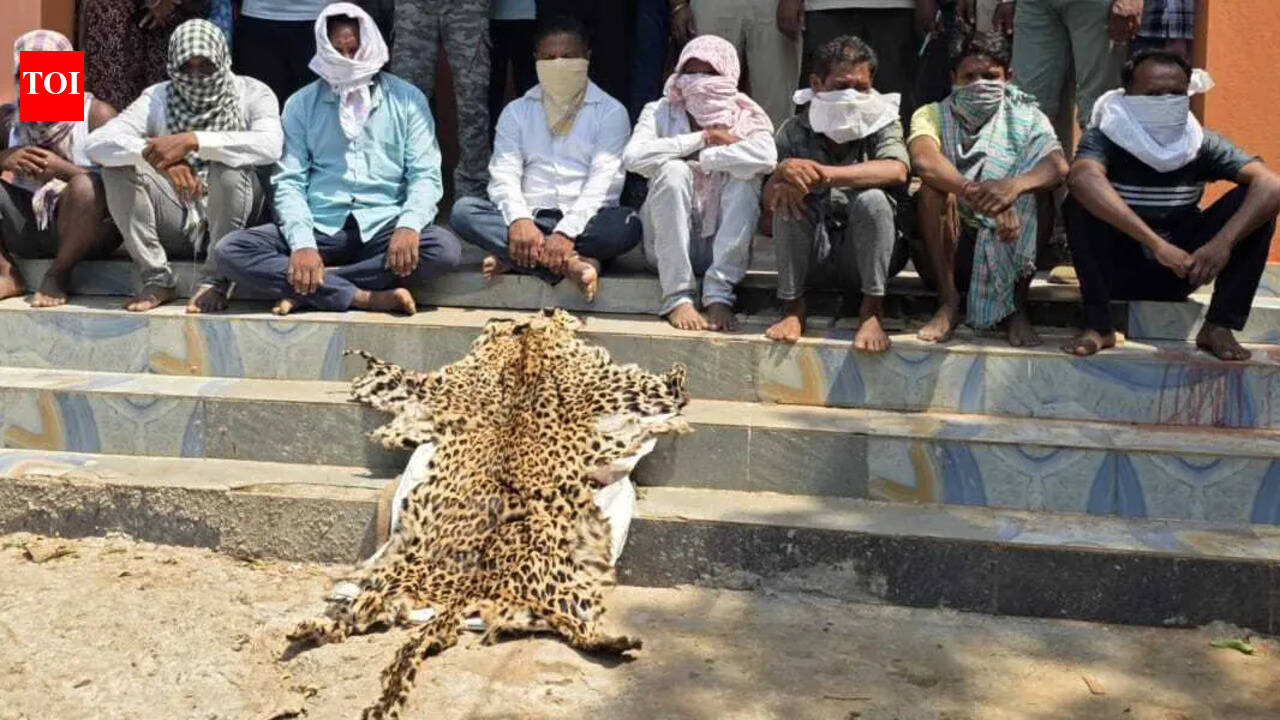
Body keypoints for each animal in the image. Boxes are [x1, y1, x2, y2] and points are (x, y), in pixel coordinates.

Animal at [286, 308, 690, 719]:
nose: (561, 312)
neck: (524, 350)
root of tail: (465, 593)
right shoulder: (611, 386)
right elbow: (662, 391)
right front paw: (677, 383)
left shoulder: (441, 388)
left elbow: (403, 384)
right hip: (564, 590)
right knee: (568, 625)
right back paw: (619, 641)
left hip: (398, 589)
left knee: (360, 617)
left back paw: (308, 628)